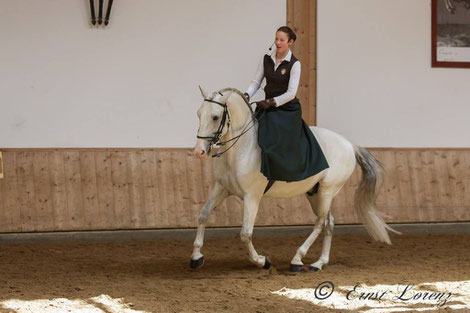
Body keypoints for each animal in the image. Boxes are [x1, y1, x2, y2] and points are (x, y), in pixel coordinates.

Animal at [191, 86, 396, 270]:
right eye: (199, 114)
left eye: (215, 116)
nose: (199, 151)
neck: (242, 149)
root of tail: (349, 144)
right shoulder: (222, 188)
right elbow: (203, 215)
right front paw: (196, 257)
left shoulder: (252, 196)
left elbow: (245, 233)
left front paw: (262, 261)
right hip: (315, 193)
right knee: (329, 221)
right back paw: (319, 262)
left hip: (328, 191)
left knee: (320, 222)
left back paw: (297, 259)